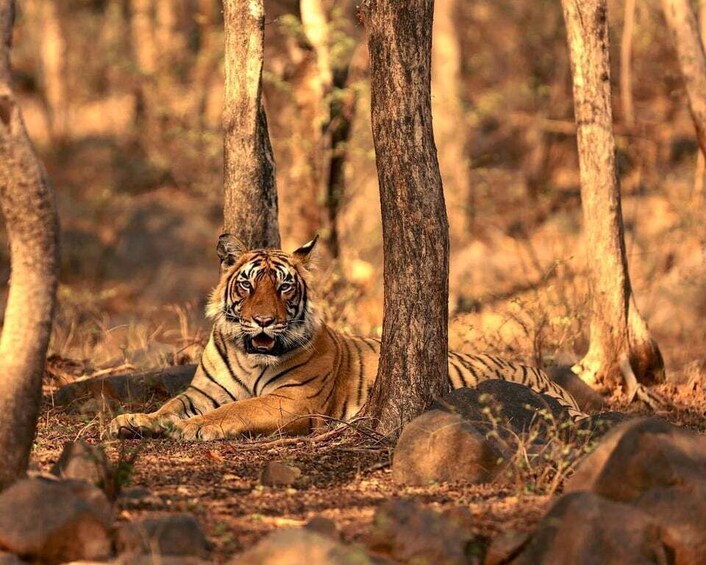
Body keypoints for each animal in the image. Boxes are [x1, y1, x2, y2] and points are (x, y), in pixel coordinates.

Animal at [108, 234, 586, 441]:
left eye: (284, 287)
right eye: (247, 284)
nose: (263, 321)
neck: (250, 354)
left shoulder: (293, 400)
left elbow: (237, 410)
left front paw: (190, 430)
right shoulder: (203, 391)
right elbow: (170, 404)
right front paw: (134, 421)